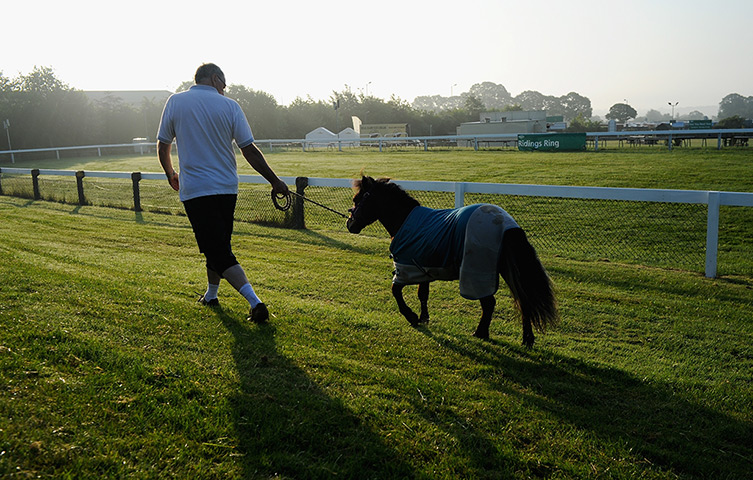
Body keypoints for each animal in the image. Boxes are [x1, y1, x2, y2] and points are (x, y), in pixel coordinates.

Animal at [346, 175, 558, 347]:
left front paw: (411, 317)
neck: (406, 220)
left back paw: (481, 332)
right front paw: (423, 317)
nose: (350, 224)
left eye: (357, 199)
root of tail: (507, 224)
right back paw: (527, 338)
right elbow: (423, 294)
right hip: (507, 270)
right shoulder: (423, 267)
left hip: (476, 273)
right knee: (523, 300)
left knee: (489, 302)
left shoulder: (406, 269)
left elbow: (395, 291)